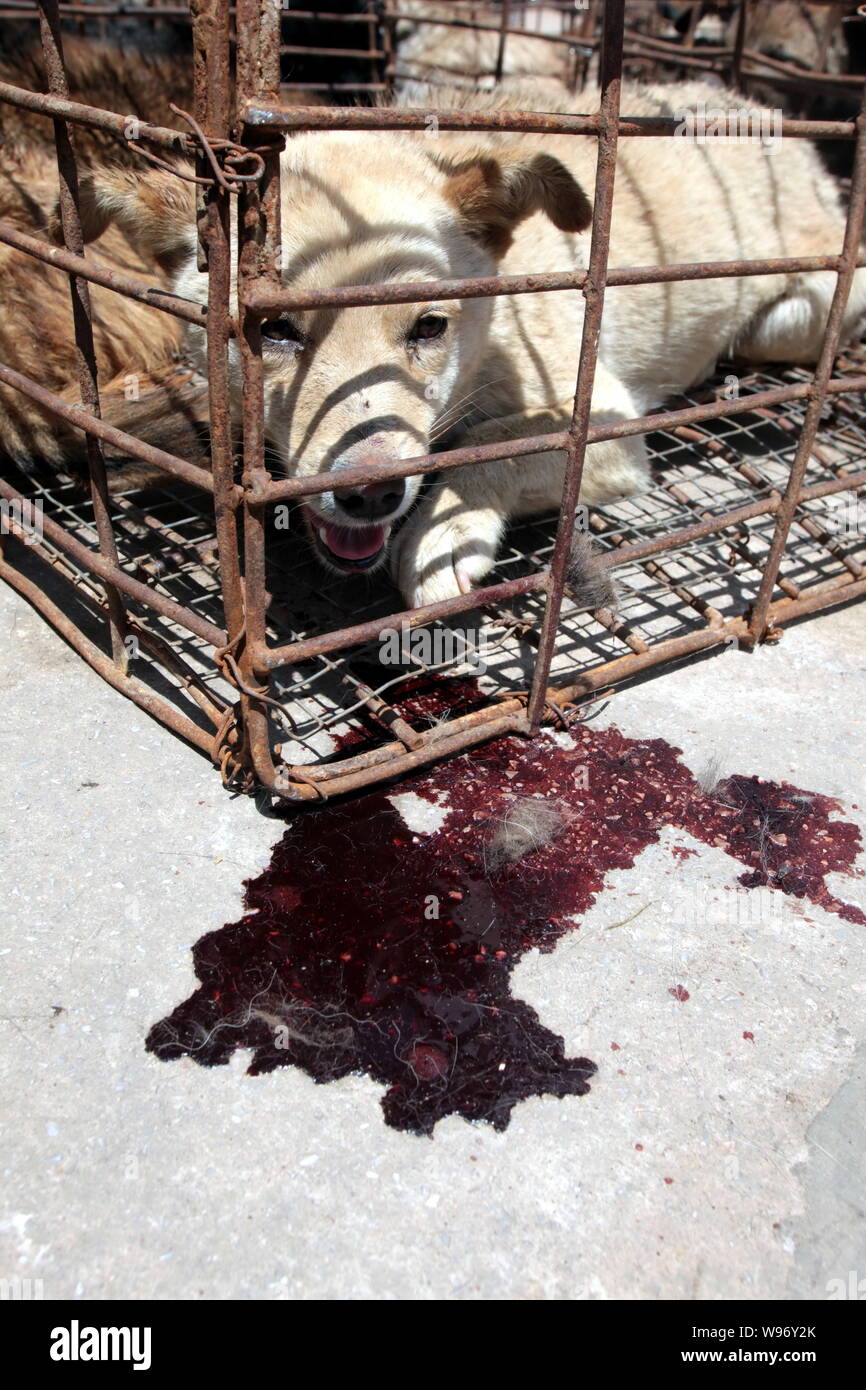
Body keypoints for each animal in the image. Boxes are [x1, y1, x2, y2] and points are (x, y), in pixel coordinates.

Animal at [1, 70, 866, 606]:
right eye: (274, 331)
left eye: (429, 326)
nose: (371, 492)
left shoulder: (607, 428)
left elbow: (492, 447)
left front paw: (442, 534)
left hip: (805, 313)